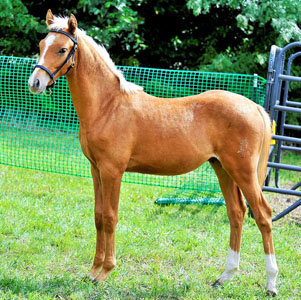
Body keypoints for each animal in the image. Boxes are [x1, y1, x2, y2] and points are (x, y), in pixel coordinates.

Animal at [28, 10, 276, 296]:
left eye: (62, 49)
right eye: (41, 46)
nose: (35, 83)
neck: (108, 106)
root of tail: (254, 107)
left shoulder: (113, 171)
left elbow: (110, 217)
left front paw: (106, 272)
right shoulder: (96, 169)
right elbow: (99, 216)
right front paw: (92, 271)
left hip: (243, 172)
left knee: (263, 215)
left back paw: (271, 284)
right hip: (222, 168)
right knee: (236, 214)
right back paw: (224, 277)